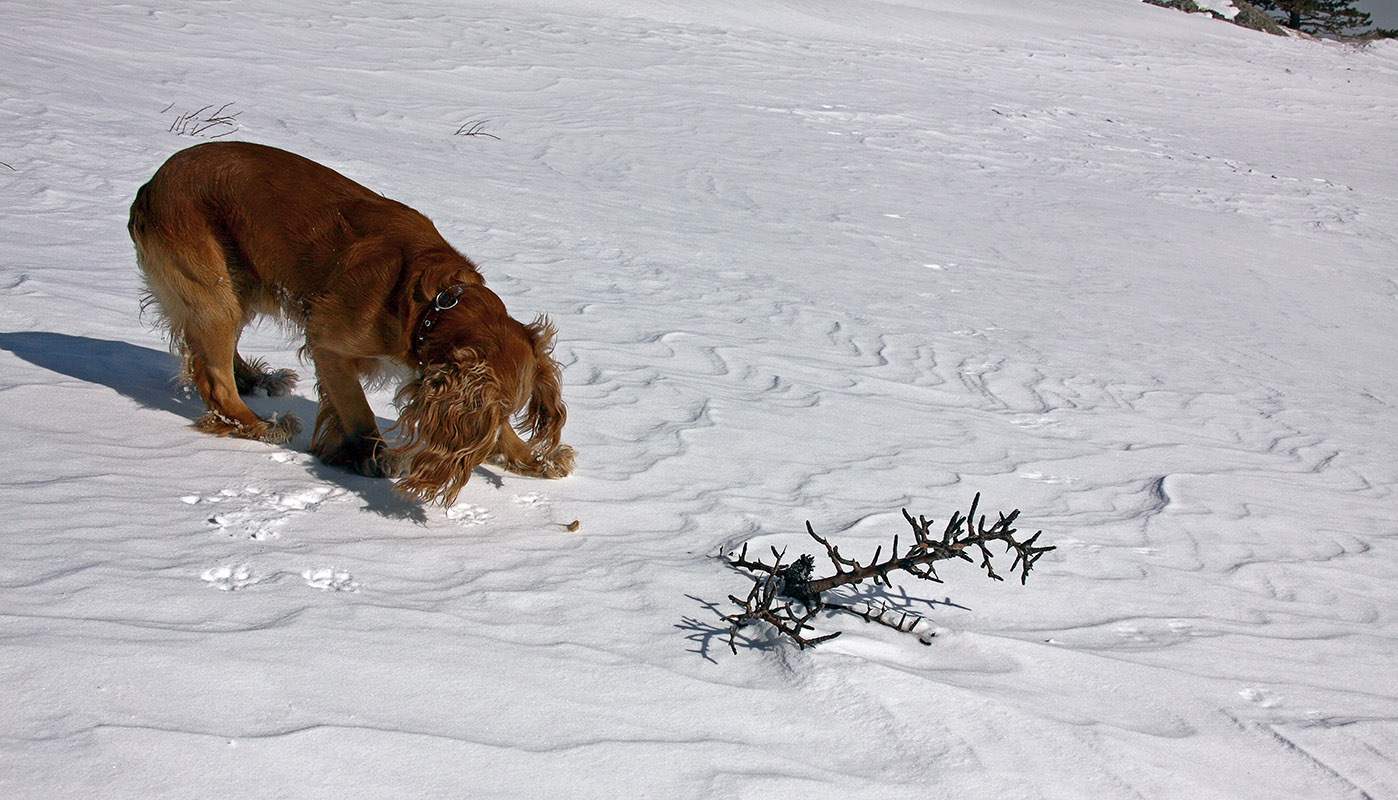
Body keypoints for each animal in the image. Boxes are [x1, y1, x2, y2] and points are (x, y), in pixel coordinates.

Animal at [127, 140, 573, 503]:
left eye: (509, 411)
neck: (433, 304)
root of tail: (151, 185)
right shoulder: (328, 342)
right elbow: (356, 409)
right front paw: (370, 455)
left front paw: (532, 458)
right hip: (213, 290)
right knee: (216, 382)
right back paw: (259, 425)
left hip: (239, 284)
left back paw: (257, 379)